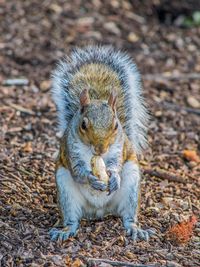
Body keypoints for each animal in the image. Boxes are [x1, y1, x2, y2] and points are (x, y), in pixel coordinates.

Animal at [48, 45, 155, 243]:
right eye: (83, 125)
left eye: (116, 125)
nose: (101, 149)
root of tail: (99, 211)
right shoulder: (71, 150)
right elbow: (78, 171)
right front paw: (91, 179)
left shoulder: (118, 148)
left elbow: (115, 165)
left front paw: (114, 177)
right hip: (66, 191)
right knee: (72, 218)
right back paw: (66, 230)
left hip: (131, 185)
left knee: (128, 216)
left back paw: (135, 228)